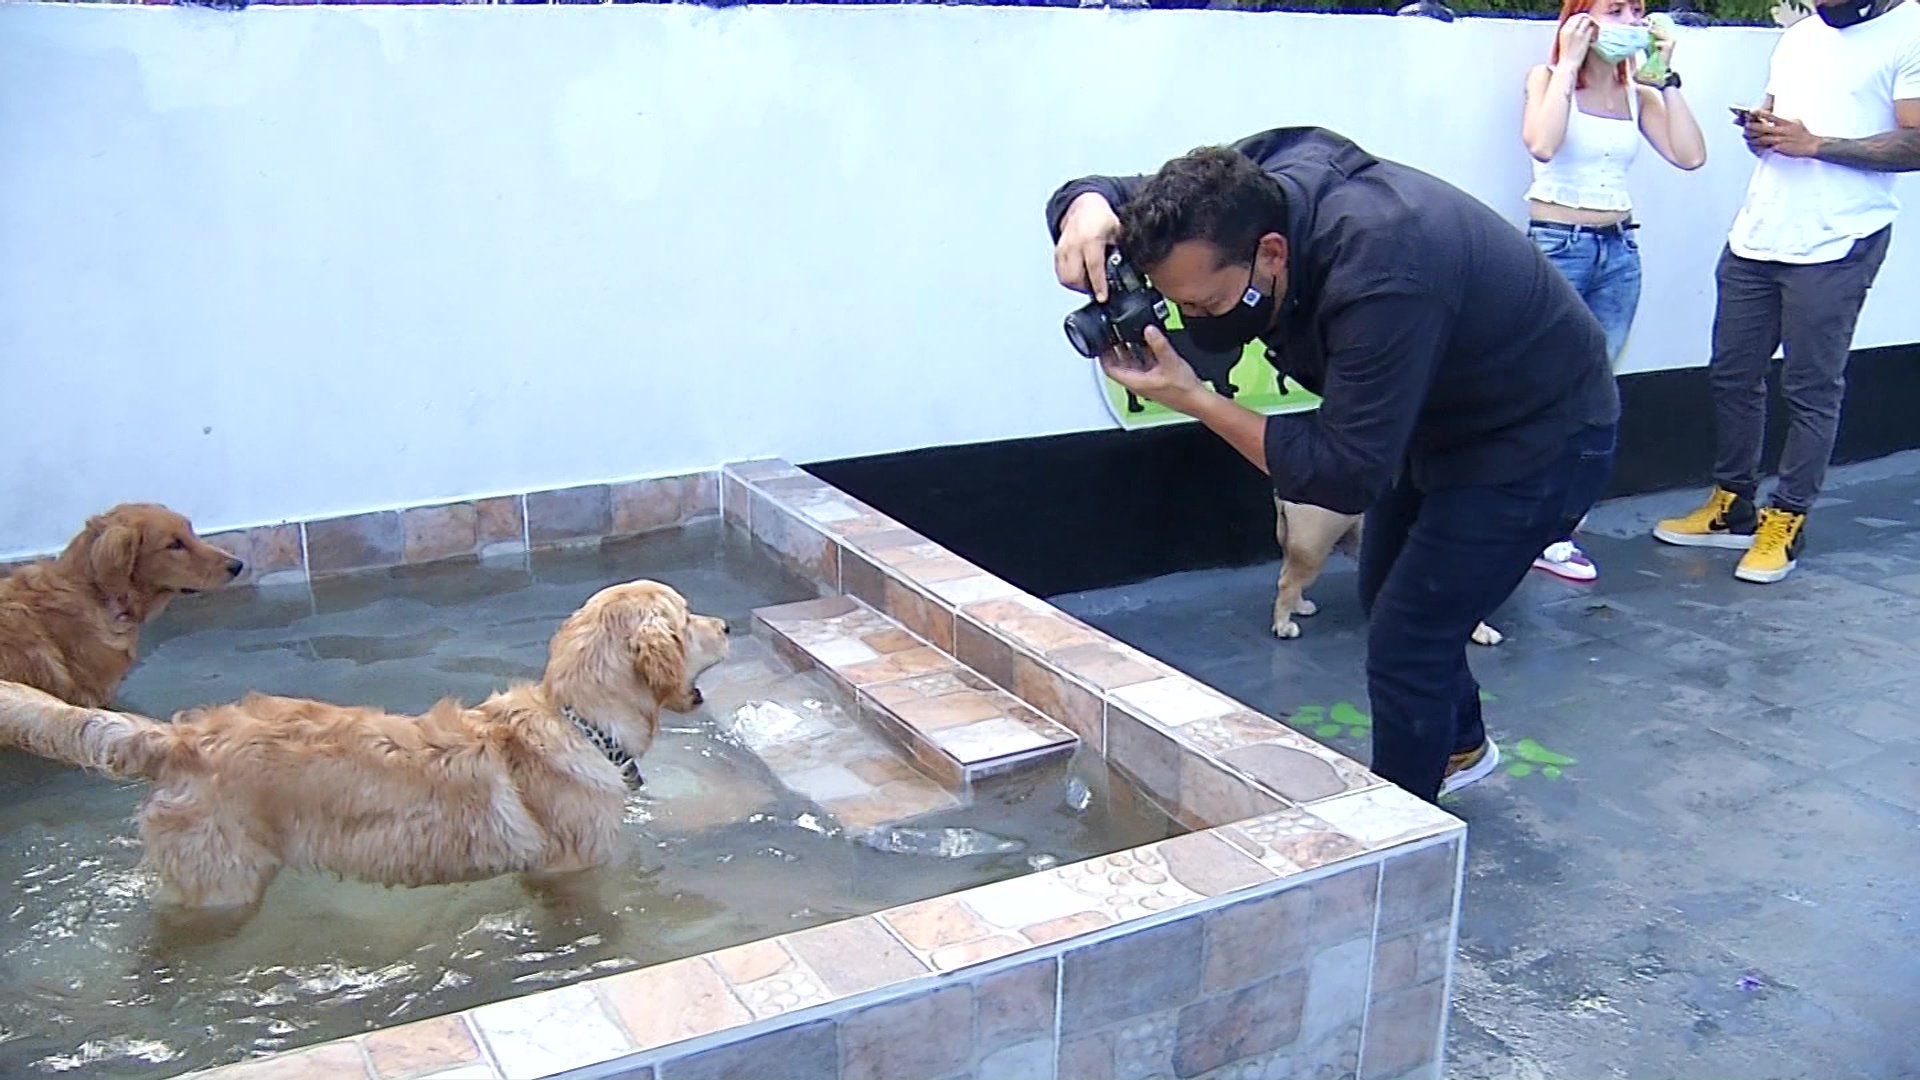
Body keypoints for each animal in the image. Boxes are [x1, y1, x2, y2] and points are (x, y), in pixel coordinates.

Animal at [1267, 491, 1505, 641]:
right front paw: (1480, 632)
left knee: (1289, 577)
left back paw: (1299, 607)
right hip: (1314, 550)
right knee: (1288, 582)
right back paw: (1283, 626)